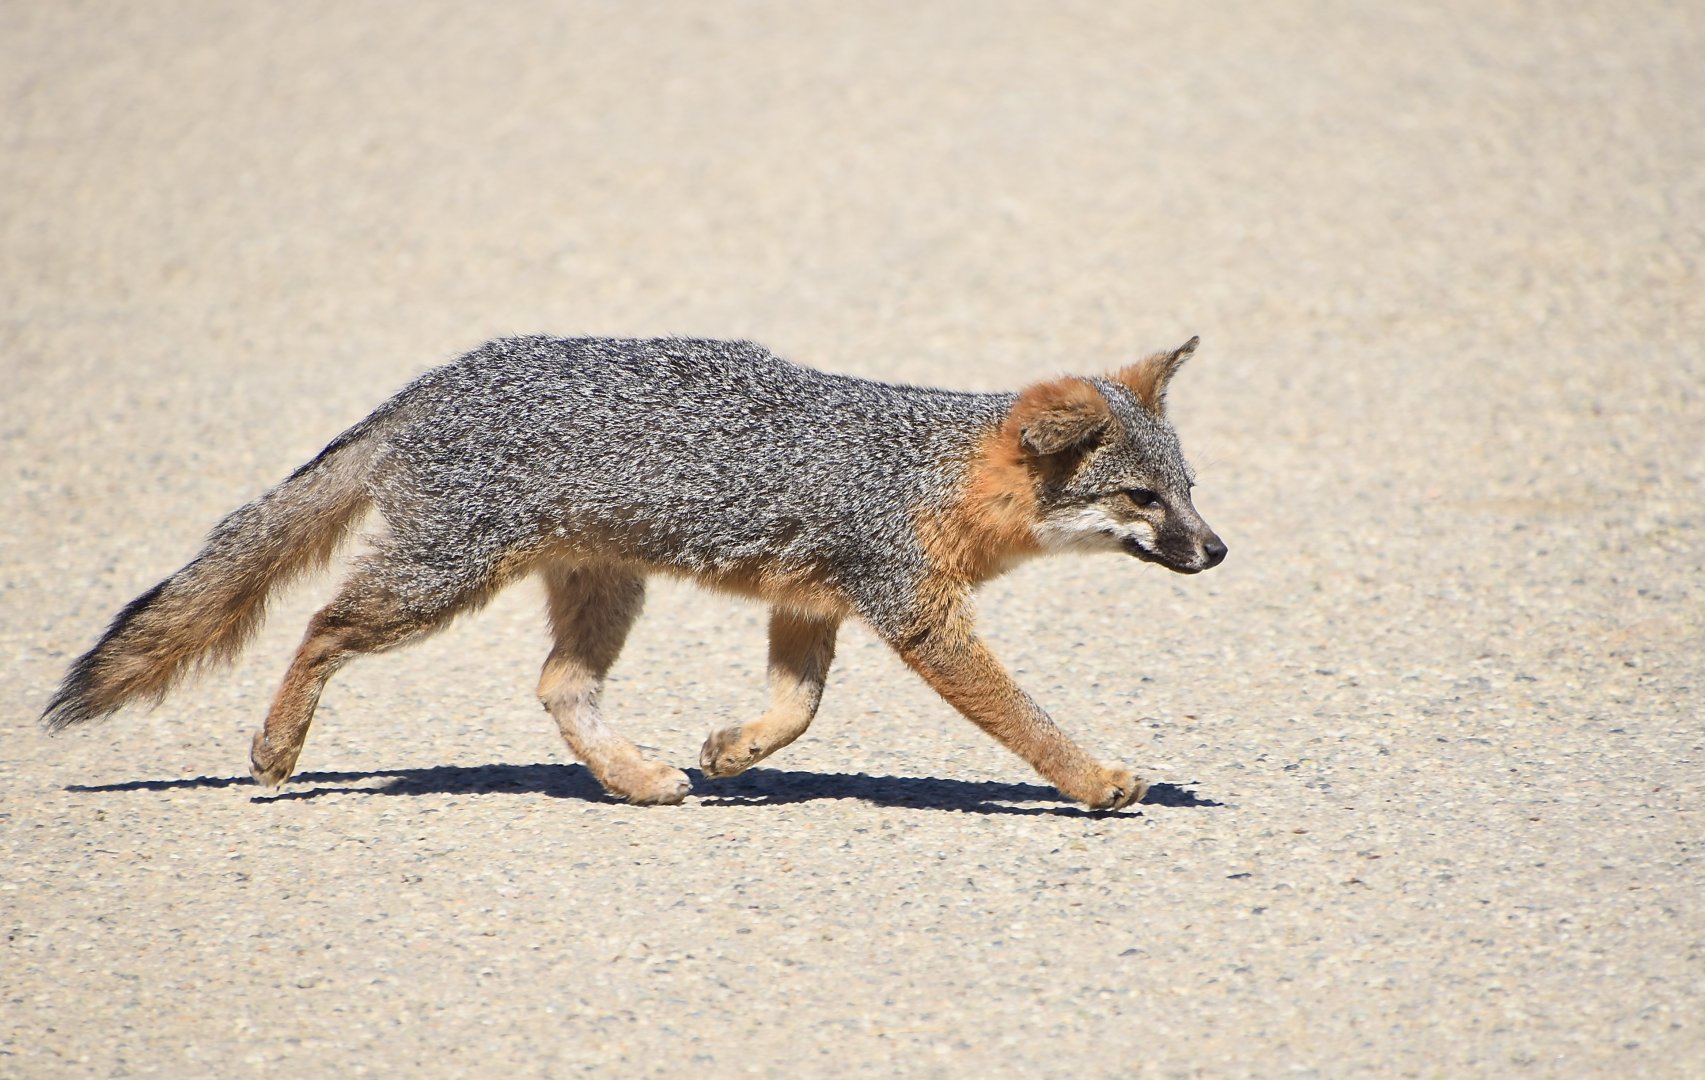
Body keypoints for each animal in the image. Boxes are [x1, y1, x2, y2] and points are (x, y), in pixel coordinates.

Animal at [42, 336, 1225, 810]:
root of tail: (435, 379)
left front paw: (730, 751)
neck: (925, 468)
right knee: (324, 625)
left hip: (600, 590)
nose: (1217, 551)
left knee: (557, 685)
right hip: (438, 584)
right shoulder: (913, 612)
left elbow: (798, 709)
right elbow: (1022, 719)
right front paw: (1092, 780)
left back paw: (638, 779)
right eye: (1141, 499)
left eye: (1190, 488)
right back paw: (277, 747)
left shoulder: (810, 603)